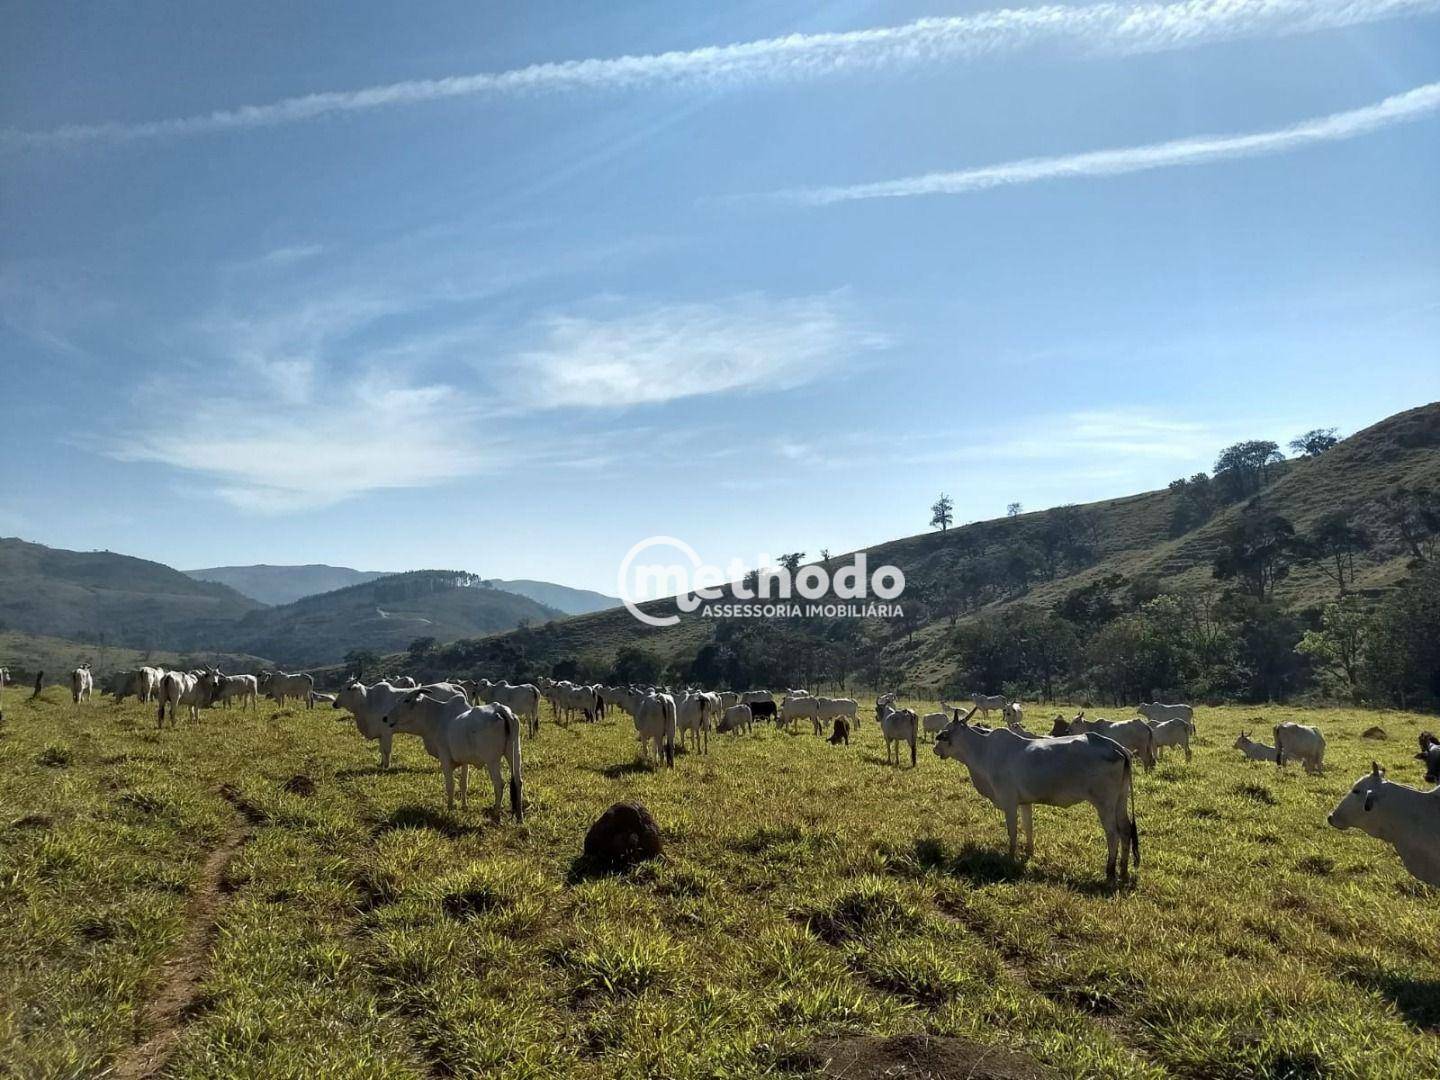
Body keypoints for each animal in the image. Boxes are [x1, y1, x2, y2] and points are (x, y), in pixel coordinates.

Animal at [383, 694, 524, 817]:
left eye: (406, 700)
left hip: (492, 760)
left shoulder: (444, 757)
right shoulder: (465, 761)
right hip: (514, 754)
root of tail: (500, 709)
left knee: (499, 784)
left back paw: (496, 814)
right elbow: (463, 784)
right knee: (518, 781)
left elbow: (450, 785)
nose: (385, 718)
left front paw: (450, 808)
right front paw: (464, 807)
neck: (436, 716)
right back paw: (519, 816)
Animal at [938, 711, 1140, 881]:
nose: (935, 748)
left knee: (1112, 833)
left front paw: (1010, 857)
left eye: (945, 734)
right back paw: (1123, 870)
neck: (983, 750)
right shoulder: (1024, 802)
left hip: (1104, 803)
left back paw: (1110, 871)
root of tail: (1116, 747)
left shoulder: (1009, 802)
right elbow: (1028, 827)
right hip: (1120, 800)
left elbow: (1012, 831)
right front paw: (1029, 852)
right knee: (1125, 830)